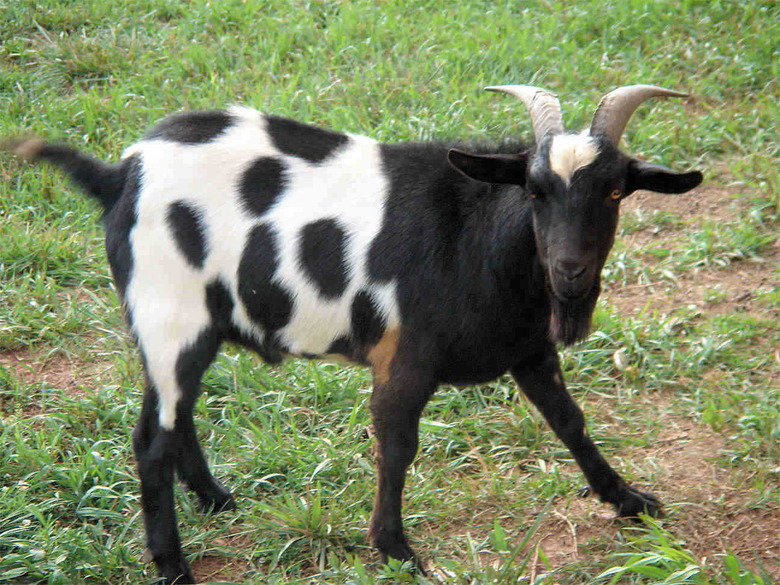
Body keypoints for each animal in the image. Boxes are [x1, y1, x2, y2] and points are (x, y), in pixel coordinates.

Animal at [11, 85, 702, 583]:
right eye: (534, 190)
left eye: (615, 190)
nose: (570, 271)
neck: (477, 239)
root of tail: (116, 176)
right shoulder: (405, 357)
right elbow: (397, 446)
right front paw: (397, 551)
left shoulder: (529, 349)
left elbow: (569, 421)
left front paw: (628, 499)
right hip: (169, 318)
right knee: (152, 440)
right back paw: (175, 567)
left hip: (185, 330)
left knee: (169, 418)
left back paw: (217, 500)